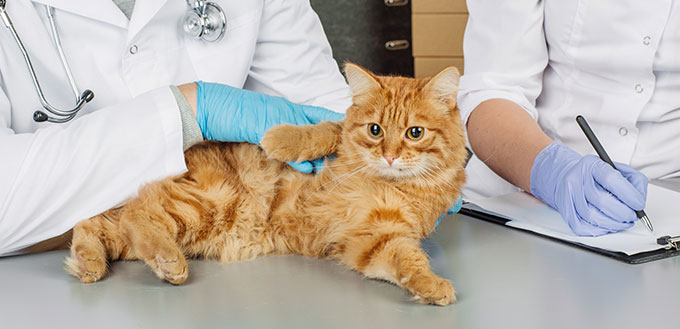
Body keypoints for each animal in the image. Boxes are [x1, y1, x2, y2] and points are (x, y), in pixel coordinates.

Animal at [65, 64, 468, 304]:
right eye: (375, 130)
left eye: (414, 133)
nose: (389, 156)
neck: (385, 181)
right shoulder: (337, 141)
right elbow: (324, 130)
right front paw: (280, 139)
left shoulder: (377, 238)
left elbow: (408, 260)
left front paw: (431, 285)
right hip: (205, 202)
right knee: (135, 216)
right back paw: (166, 261)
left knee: (102, 223)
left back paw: (89, 263)